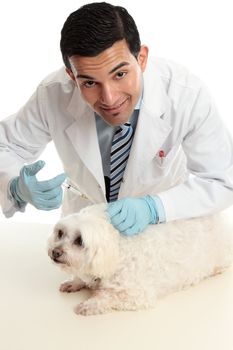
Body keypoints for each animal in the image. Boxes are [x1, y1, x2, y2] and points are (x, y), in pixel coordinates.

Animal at [47, 204, 233, 316]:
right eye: (60, 233)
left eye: (79, 240)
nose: (55, 252)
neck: (116, 250)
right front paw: (75, 282)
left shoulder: (137, 295)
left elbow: (108, 295)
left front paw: (91, 303)